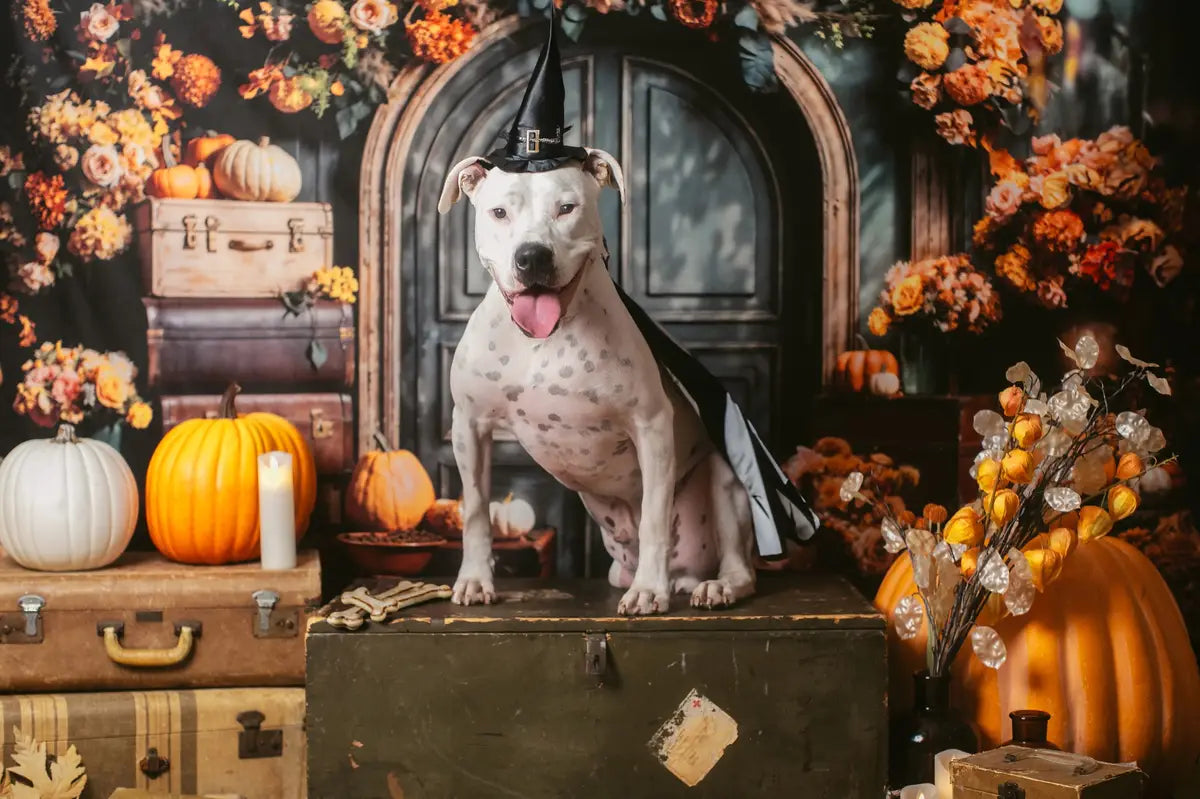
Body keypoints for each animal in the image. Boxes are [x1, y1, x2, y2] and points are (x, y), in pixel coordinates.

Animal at [439, 151, 758, 614]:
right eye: (499, 213)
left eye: (566, 208)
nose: (532, 256)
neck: (544, 340)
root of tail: (686, 575)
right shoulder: (469, 425)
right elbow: (478, 510)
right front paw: (476, 580)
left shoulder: (652, 424)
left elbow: (654, 517)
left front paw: (648, 590)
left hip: (723, 476)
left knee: (741, 567)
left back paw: (716, 587)